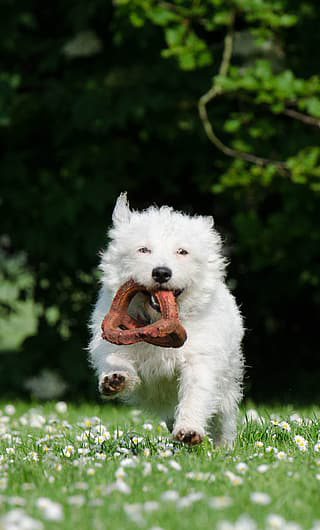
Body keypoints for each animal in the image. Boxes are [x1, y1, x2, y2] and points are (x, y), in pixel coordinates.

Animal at [89, 192, 244, 444]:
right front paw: (115, 378)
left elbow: (196, 394)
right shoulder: (112, 339)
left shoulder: (201, 360)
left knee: (222, 419)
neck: (154, 321)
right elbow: (115, 356)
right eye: (143, 250)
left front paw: (189, 429)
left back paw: (223, 445)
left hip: (227, 388)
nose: (161, 272)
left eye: (182, 252)